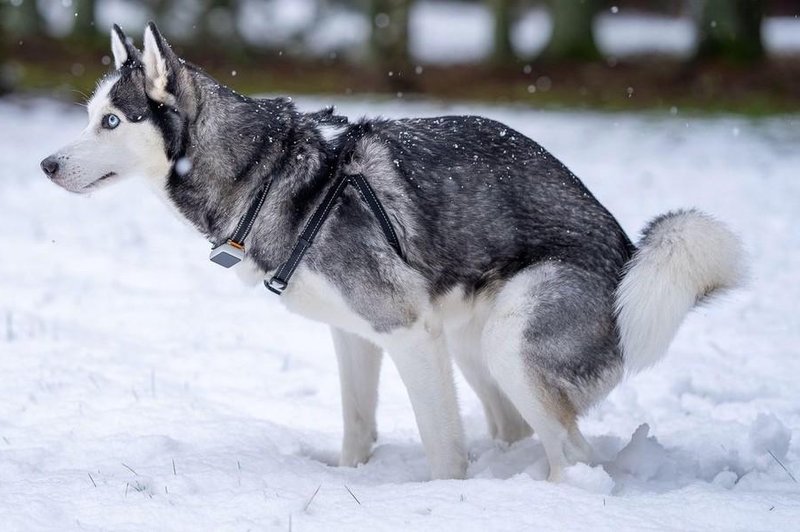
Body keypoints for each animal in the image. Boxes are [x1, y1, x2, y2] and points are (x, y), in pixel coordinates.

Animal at [40, 22, 744, 482]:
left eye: (112, 121)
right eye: (89, 115)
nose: (46, 165)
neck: (270, 173)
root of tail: (628, 256)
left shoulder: (407, 332)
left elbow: (443, 451)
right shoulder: (357, 336)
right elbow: (358, 424)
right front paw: (352, 476)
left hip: (508, 343)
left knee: (575, 455)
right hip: (468, 340)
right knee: (522, 432)